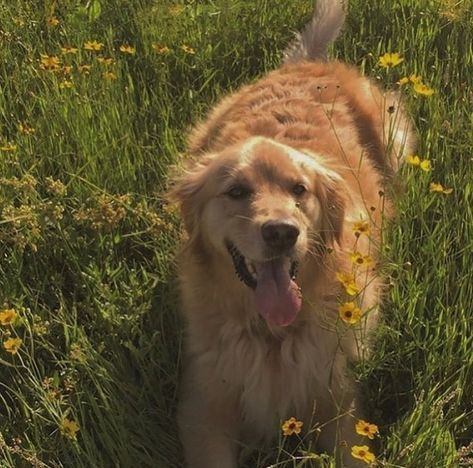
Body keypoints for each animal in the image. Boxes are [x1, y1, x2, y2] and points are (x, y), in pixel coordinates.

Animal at [171, 1, 412, 466]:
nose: (282, 232)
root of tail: (308, 63)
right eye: (237, 191)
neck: (272, 336)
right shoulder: (205, 408)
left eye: (299, 189)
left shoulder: (338, 402)